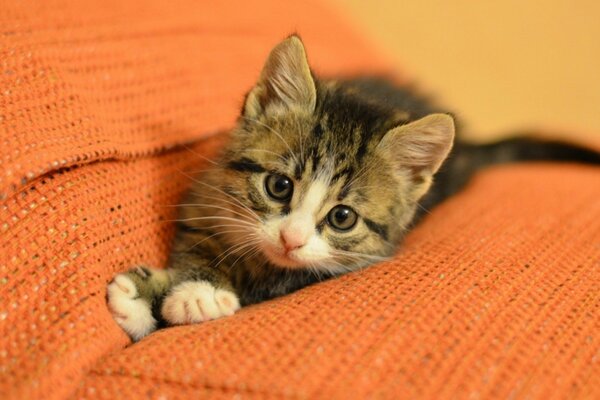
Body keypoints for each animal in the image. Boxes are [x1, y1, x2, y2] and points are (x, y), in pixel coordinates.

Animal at [105, 36, 596, 340]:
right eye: (279, 186)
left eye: (342, 217)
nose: (291, 239)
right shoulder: (204, 202)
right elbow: (199, 245)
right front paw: (154, 295)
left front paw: (194, 296)